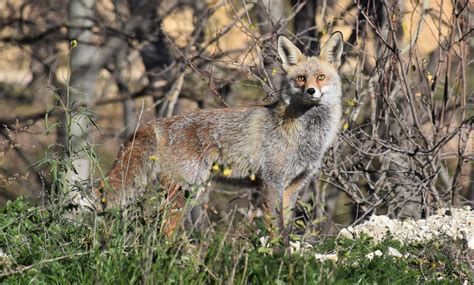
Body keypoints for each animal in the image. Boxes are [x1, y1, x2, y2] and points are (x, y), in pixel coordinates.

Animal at [92, 32, 344, 237]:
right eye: (301, 78)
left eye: (321, 77)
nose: (311, 91)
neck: (307, 137)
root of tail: (155, 123)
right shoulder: (272, 182)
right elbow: (277, 233)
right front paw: (278, 259)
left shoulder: (293, 186)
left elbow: (287, 230)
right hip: (186, 190)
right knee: (164, 230)